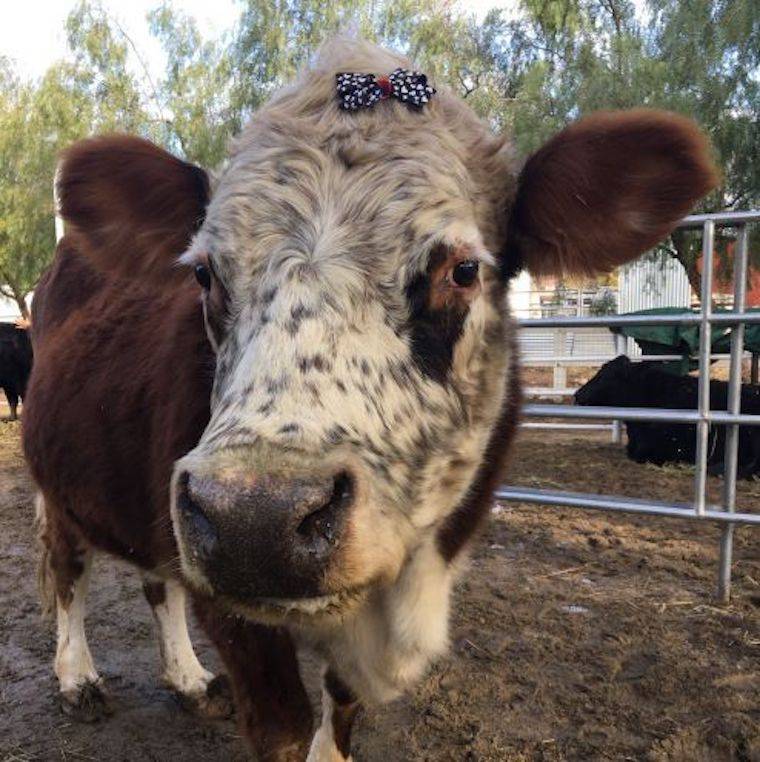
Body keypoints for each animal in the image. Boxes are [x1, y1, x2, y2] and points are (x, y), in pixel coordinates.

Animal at [22, 39, 717, 760]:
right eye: (205, 274)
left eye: (463, 270)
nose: (254, 519)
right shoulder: (237, 615)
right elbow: (283, 727)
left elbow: (341, 707)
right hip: (61, 482)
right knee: (67, 566)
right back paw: (78, 678)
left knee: (158, 581)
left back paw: (186, 677)